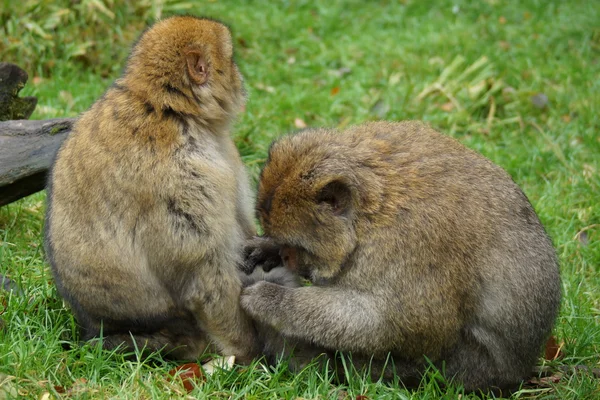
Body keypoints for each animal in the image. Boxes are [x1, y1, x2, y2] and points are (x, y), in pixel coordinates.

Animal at [45, 17, 262, 362]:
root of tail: (95, 324)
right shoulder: (182, 175)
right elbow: (205, 275)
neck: (167, 107)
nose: (241, 80)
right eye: (230, 60)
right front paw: (250, 352)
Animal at [240, 122, 564, 390]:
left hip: (469, 370)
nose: (286, 257)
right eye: (282, 241)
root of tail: (521, 370)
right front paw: (265, 250)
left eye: (297, 247)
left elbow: (409, 325)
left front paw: (272, 300)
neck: (369, 214)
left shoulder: (411, 243)